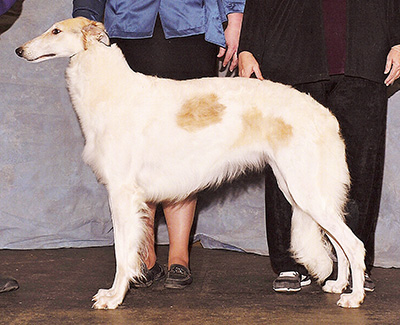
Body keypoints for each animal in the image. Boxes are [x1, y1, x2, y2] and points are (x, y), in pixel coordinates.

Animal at [15, 17, 366, 308]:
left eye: (56, 31)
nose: (19, 50)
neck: (111, 88)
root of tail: (325, 114)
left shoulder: (122, 192)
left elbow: (121, 252)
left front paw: (114, 297)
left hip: (306, 190)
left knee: (354, 244)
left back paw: (354, 297)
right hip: (298, 189)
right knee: (339, 243)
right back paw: (339, 286)